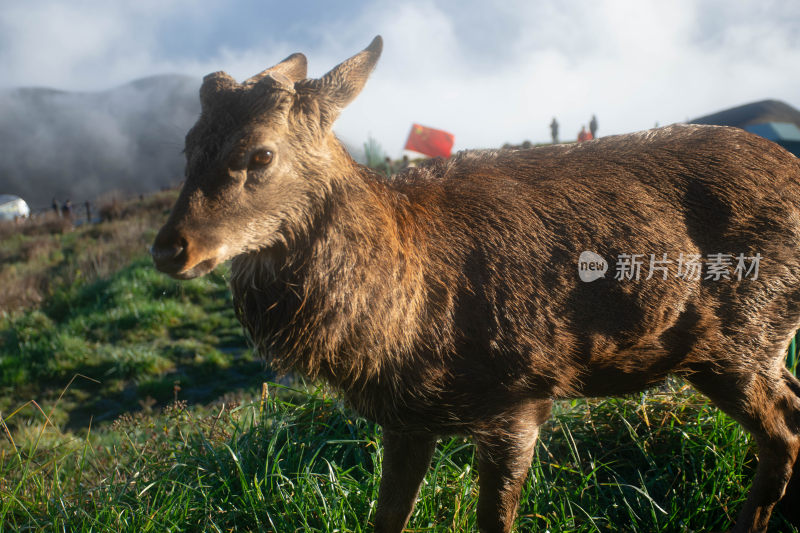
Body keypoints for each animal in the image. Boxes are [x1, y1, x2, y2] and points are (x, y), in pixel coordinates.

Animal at [150, 35, 800, 528]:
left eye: (259, 154)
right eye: (187, 146)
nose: (169, 247)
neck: (402, 328)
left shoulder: (518, 396)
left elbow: (493, 520)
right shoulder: (405, 420)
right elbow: (386, 519)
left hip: (740, 339)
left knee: (783, 433)